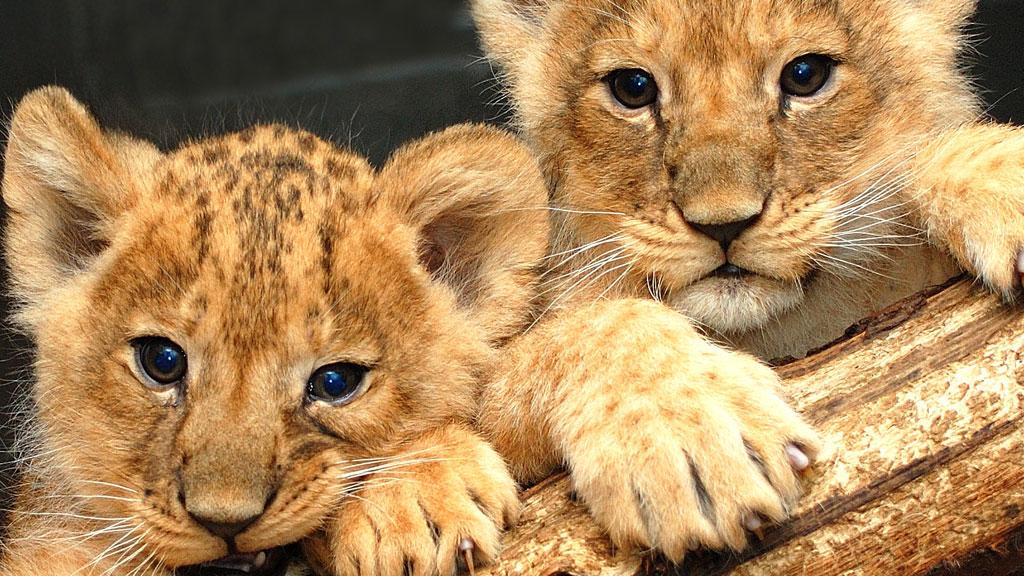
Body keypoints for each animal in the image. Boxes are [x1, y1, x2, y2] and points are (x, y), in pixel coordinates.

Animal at [471, 0, 1024, 561]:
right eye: (633, 87)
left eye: (805, 75)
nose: (724, 224)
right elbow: (585, 331)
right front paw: (687, 437)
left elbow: (919, 159)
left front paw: (1006, 184)